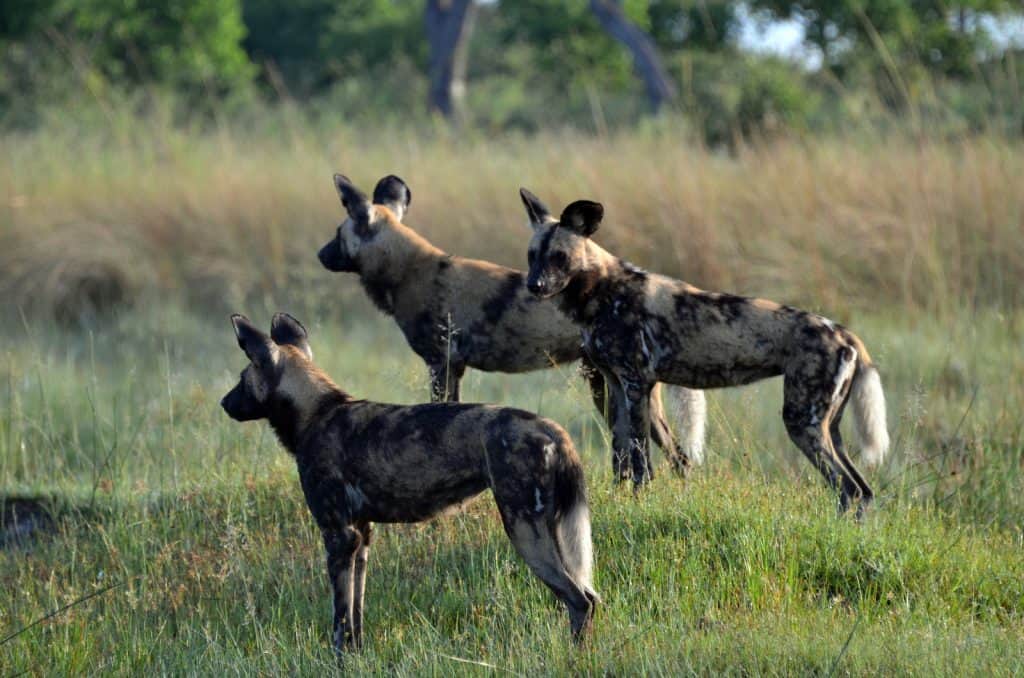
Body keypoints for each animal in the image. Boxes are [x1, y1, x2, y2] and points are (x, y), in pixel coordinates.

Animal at [220, 311, 598, 655]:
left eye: (241, 378)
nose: (224, 403)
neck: (317, 413)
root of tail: (552, 428)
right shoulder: (361, 537)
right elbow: (356, 613)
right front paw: (358, 657)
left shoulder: (338, 536)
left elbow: (340, 620)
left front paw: (338, 661)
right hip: (553, 532)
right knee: (591, 595)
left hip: (524, 530)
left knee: (578, 600)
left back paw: (574, 657)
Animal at [315, 175, 708, 477]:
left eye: (336, 233)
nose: (320, 254)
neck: (408, 270)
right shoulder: (454, 369)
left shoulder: (440, 364)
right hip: (607, 386)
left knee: (679, 457)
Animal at [520, 188, 888, 512]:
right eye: (532, 255)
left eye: (560, 257)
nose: (534, 285)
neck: (601, 290)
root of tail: (844, 332)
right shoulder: (617, 386)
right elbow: (620, 457)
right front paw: (620, 501)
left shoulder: (636, 385)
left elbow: (641, 463)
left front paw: (639, 504)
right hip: (827, 427)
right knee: (861, 491)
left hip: (801, 421)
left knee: (849, 488)